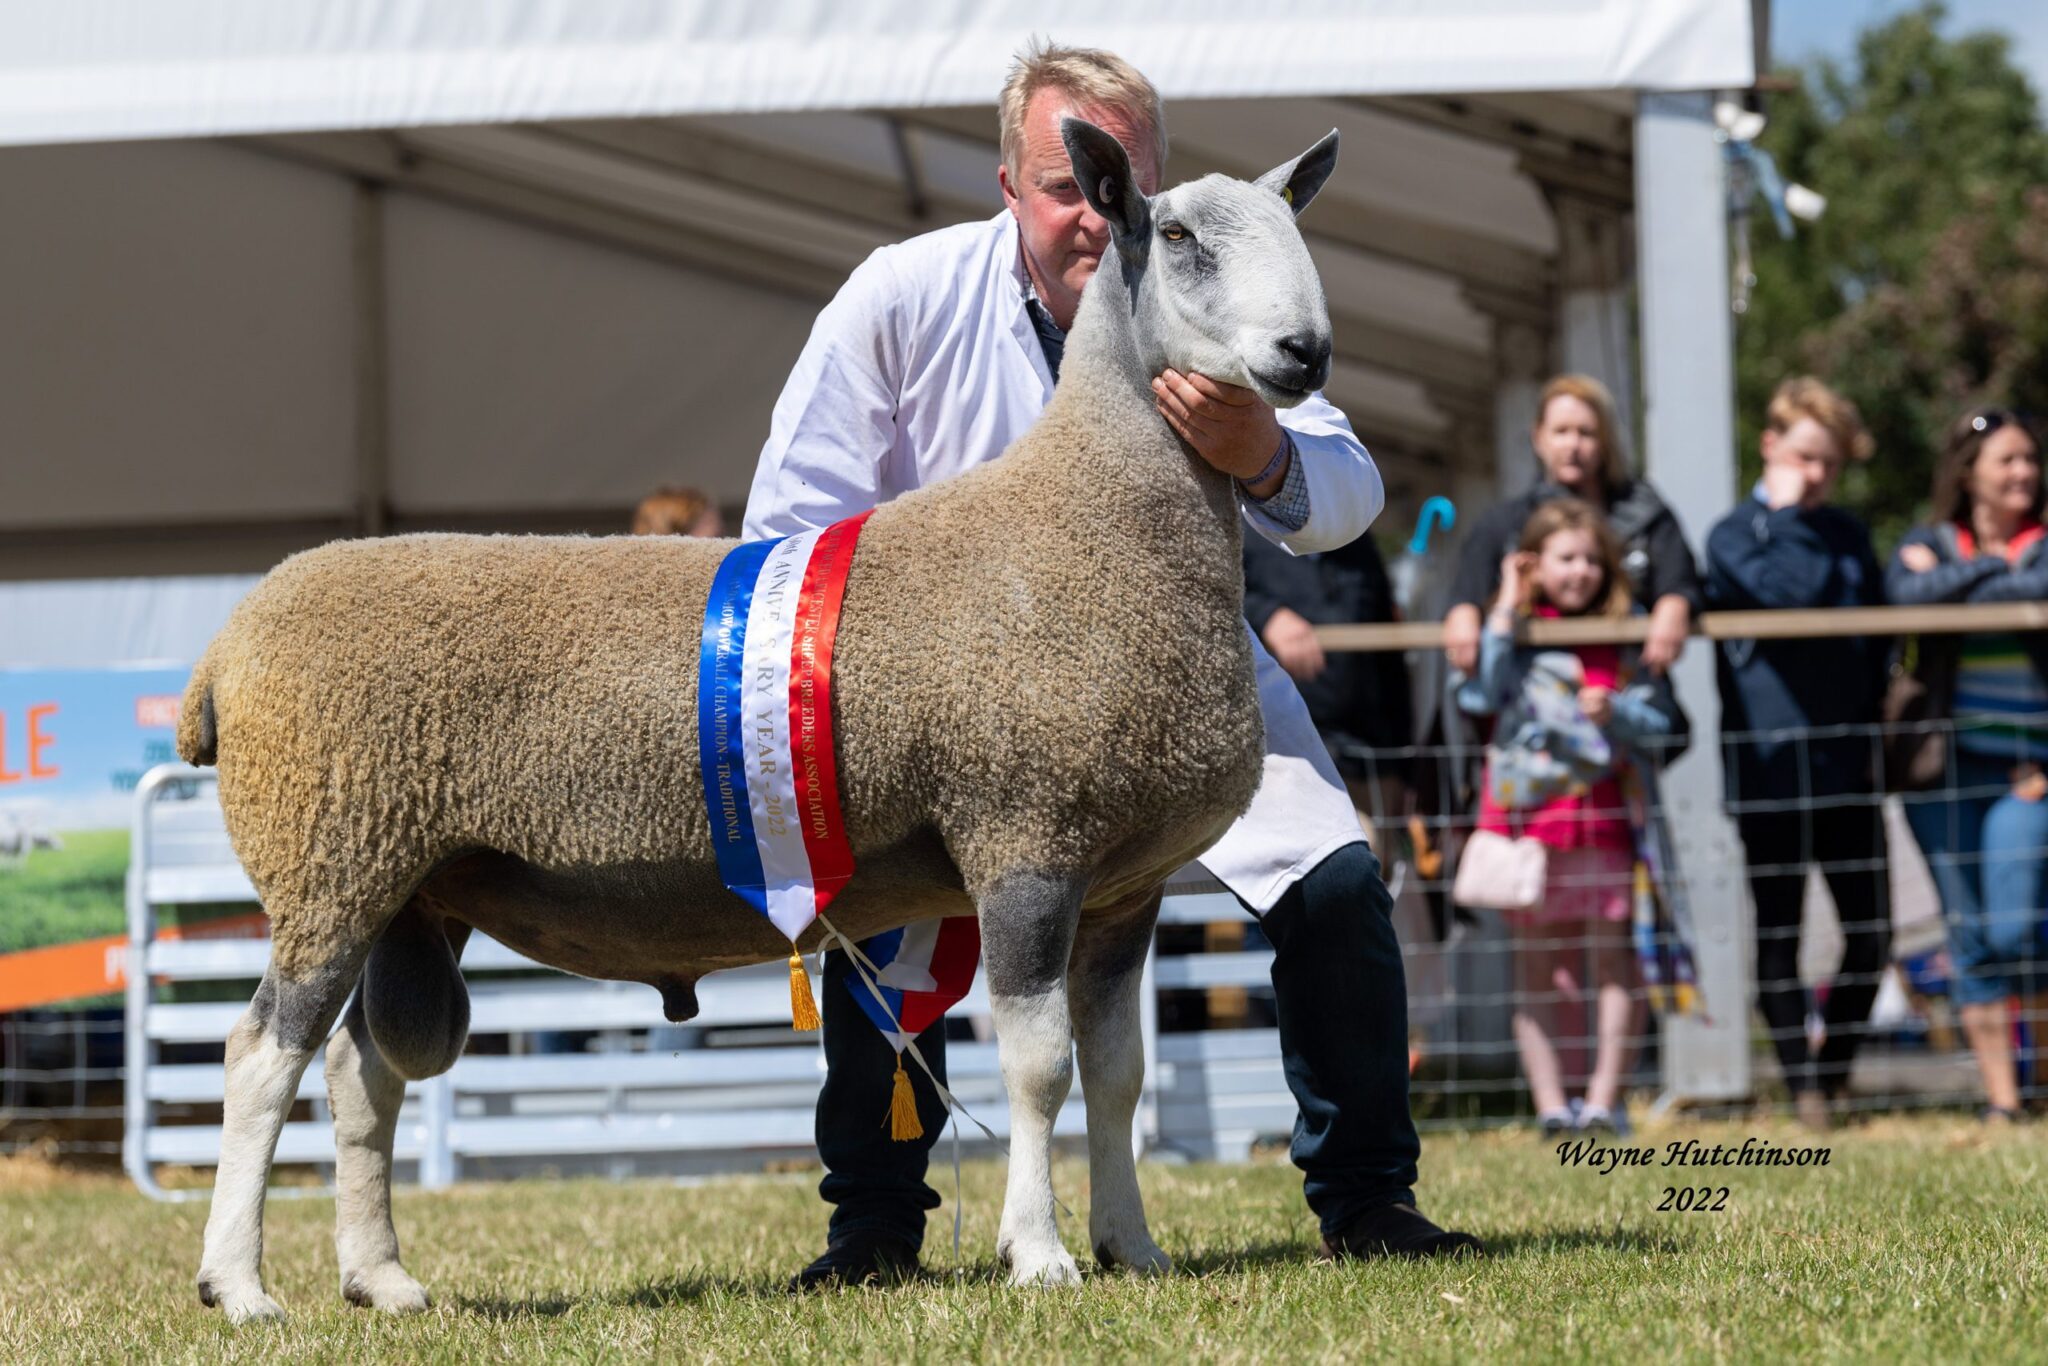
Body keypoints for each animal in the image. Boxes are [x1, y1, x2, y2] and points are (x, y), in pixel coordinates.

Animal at [180, 120, 1343, 1327]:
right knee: (260, 1057)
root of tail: (229, 647)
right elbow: (1040, 1069)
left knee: (359, 1073)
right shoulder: (1023, 835)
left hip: (411, 878)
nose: (1305, 353)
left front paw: (1133, 1249)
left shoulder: (1123, 881)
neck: (1089, 520)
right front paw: (1041, 1254)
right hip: (327, 857)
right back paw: (240, 1286)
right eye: (1178, 236)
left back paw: (382, 1277)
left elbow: (1116, 1075)